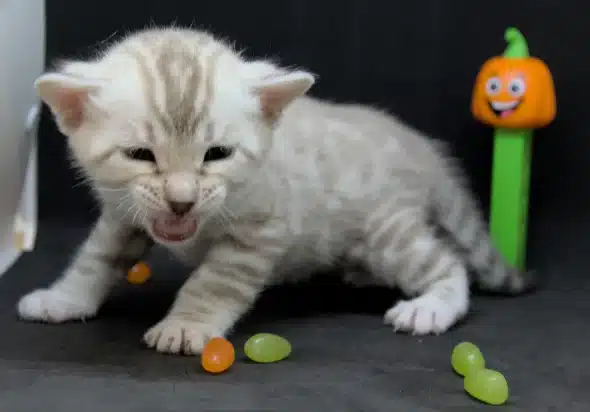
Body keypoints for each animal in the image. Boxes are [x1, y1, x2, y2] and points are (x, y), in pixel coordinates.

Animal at [16, 27, 536, 354]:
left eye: (217, 154)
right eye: (141, 155)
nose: (182, 200)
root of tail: (417, 144)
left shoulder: (259, 231)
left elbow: (213, 282)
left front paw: (185, 325)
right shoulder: (124, 214)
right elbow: (94, 259)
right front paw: (64, 299)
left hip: (386, 230)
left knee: (446, 263)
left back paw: (432, 306)